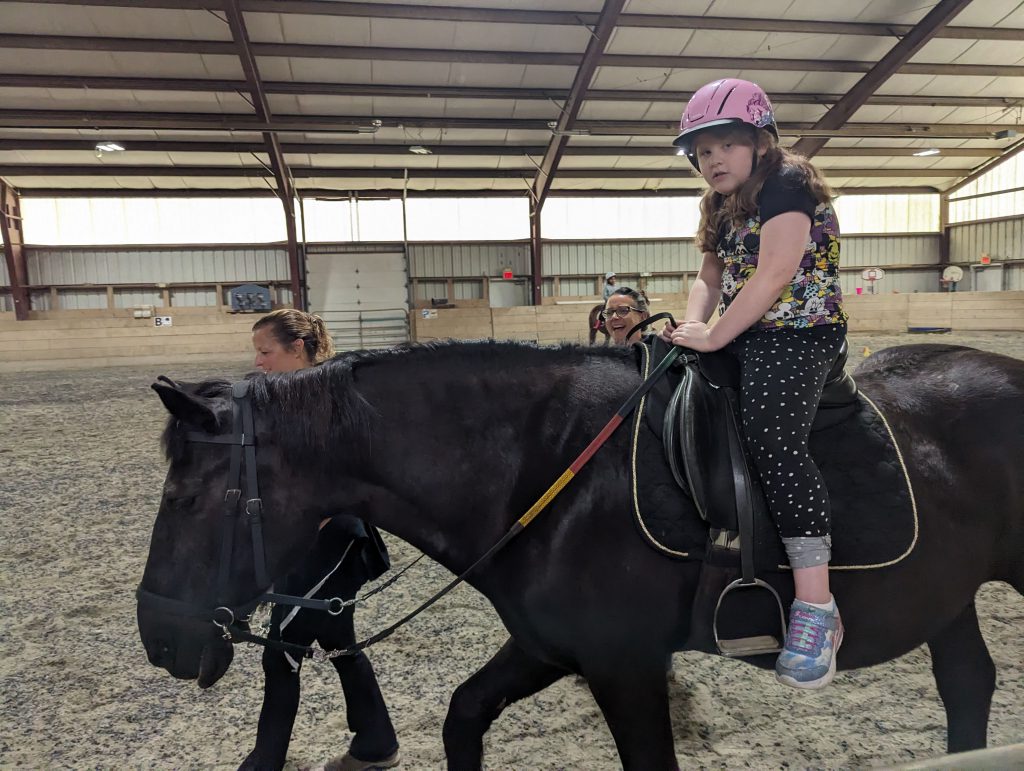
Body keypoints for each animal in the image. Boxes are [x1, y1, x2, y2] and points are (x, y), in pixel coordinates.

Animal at [138, 344, 1024, 769]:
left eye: (185, 499)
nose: (158, 637)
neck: (548, 463)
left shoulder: (624, 665)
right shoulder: (549, 644)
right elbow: (463, 715)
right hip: (945, 594)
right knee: (967, 683)